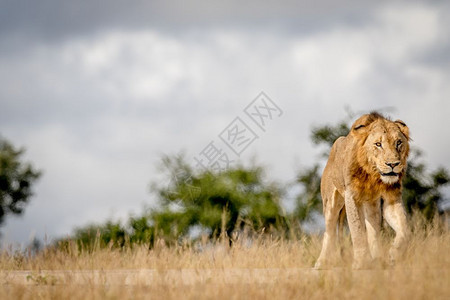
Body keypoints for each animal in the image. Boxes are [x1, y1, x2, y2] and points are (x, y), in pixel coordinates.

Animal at [314, 112, 410, 270]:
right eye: (378, 144)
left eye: (398, 143)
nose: (393, 164)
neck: (373, 175)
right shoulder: (351, 196)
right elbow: (357, 230)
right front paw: (360, 262)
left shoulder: (392, 197)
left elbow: (404, 228)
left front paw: (394, 254)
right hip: (330, 202)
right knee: (329, 231)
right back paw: (321, 262)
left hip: (372, 205)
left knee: (373, 229)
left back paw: (377, 258)